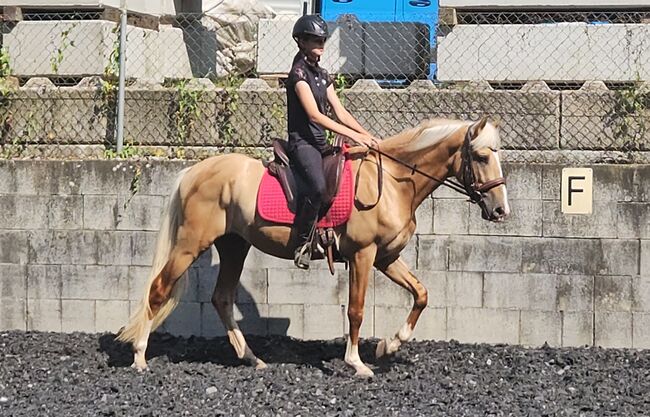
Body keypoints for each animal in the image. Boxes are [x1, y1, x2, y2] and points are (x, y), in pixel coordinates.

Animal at [117, 115, 512, 376]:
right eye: (481, 156)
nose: (500, 210)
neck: (394, 182)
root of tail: (193, 172)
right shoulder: (364, 255)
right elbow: (356, 310)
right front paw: (357, 363)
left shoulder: (386, 257)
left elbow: (421, 294)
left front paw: (389, 344)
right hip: (191, 243)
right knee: (158, 289)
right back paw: (139, 358)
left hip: (234, 246)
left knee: (222, 298)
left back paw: (252, 359)